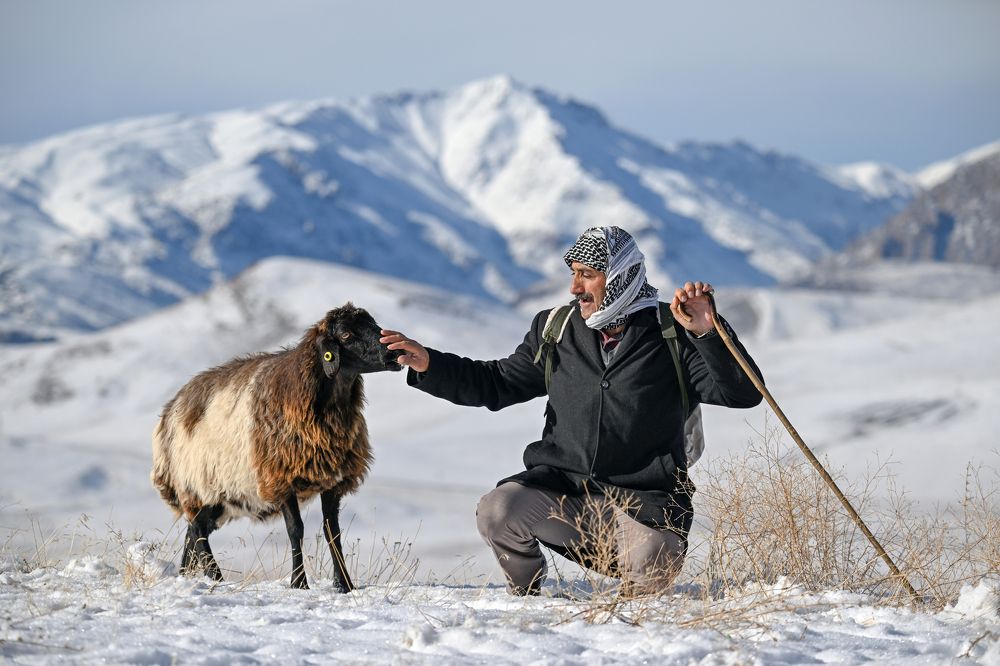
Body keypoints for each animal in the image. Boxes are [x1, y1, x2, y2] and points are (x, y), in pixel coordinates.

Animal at [151, 302, 402, 591]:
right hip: (196, 484)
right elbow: (296, 530)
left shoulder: (332, 480)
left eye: (374, 324)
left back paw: (188, 575)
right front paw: (299, 583)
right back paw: (216, 577)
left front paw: (344, 584)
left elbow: (332, 531)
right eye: (346, 335)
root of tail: (169, 411)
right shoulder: (281, 478)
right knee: (199, 532)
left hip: (218, 497)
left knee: (194, 530)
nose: (395, 353)